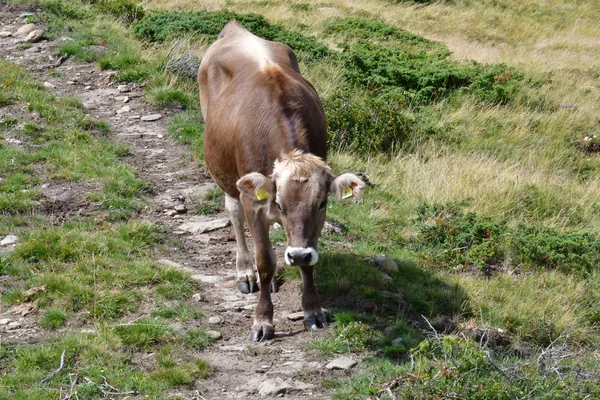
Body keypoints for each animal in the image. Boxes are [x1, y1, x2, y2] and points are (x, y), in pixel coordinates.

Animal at [199, 21, 364, 340]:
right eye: (279, 202)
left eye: (322, 203)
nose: (297, 255)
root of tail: (235, 28)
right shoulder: (254, 202)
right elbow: (265, 260)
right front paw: (262, 320)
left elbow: (309, 261)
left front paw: (312, 310)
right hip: (228, 175)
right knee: (234, 212)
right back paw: (244, 270)